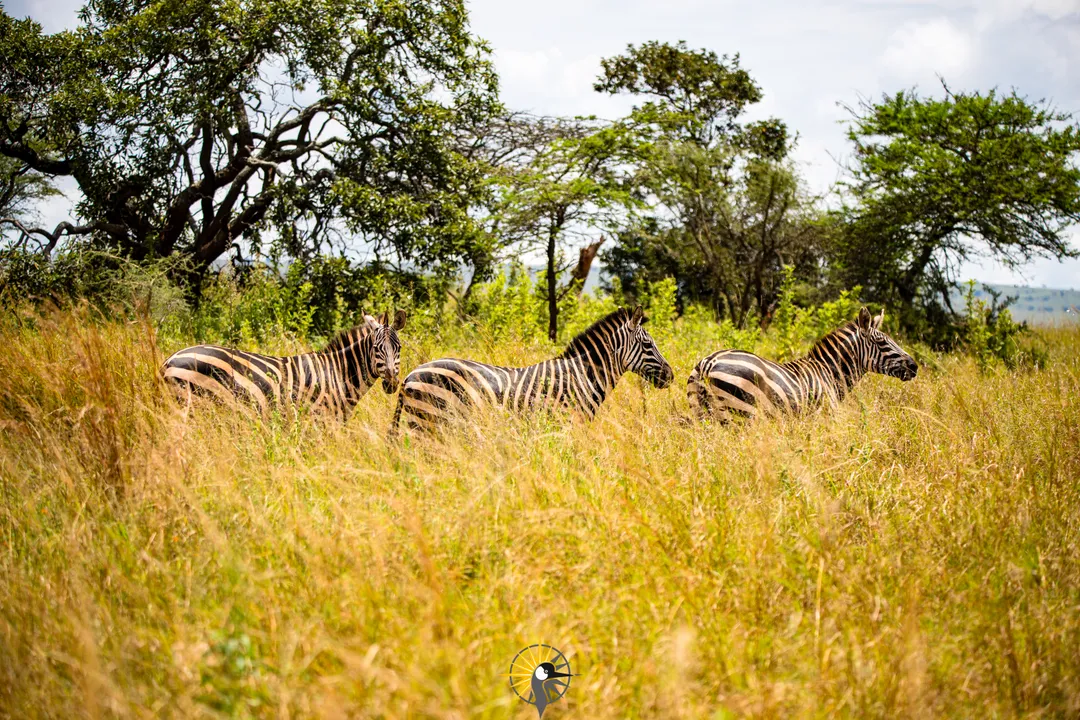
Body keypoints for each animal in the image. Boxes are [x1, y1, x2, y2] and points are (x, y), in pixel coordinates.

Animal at [162, 310, 406, 423]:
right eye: (375, 348)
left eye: (400, 347)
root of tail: (169, 360)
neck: (338, 373)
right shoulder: (321, 421)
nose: (392, 383)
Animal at [388, 306, 673, 433]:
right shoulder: (567, 423)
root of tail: (410, 375)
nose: (670, 376)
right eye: (648, 344)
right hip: (427, 420)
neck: (583, 375)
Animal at [686, 306, 915, 418]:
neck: (829, 372)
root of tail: (709, 362)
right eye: (882, 342)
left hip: (702, 415)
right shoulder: (824, 416)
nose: (914, 366)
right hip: (741, 413)